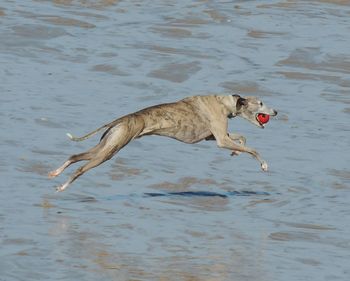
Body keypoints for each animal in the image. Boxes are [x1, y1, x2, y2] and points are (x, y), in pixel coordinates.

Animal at [49, 94, 278, 190]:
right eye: (261, 103)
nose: (276, 111)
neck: (226, 102)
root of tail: (121, 120)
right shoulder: (220, 139)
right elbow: (252, 149)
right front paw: (264, 164)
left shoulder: (213, 136)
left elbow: (242, 139)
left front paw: (236, 152)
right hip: (110, 151)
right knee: (80, 169)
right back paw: (62, 186)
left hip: (106, 144)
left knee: (74, 156)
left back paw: (55, 173)